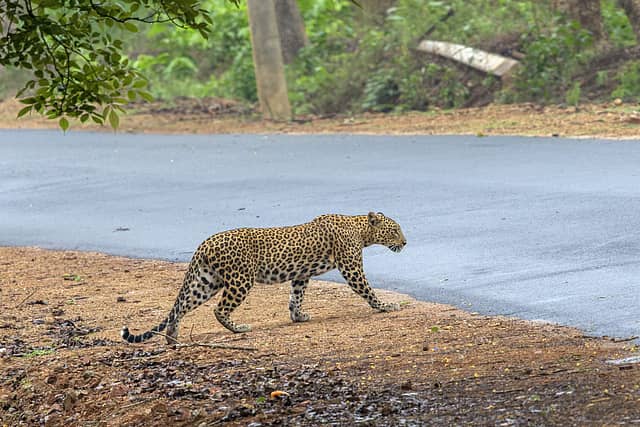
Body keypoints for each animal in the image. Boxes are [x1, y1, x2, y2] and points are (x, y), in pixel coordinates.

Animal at [121, 212, 407, 344]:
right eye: (394, 230)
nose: (405, 242)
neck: (360, 229)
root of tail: (204, 243)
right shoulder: (351, 267)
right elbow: (367, 290)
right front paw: (386, 306)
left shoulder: (301, 274)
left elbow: (296, 296)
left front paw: (298, 316)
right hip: (239, 280)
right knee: (219, 309)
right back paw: (238, 328)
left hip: (207, 281)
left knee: (180, 307)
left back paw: (172, 337)